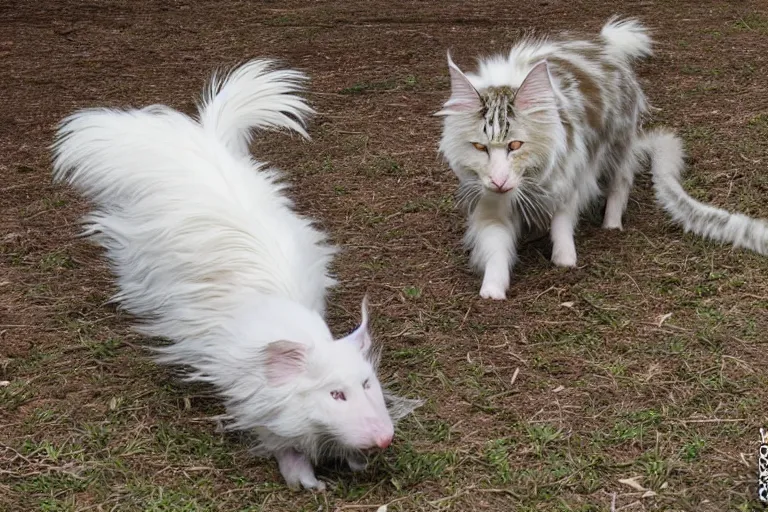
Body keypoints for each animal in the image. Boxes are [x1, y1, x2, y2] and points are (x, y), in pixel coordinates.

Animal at [438, 17, 768, 300]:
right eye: (480, 148)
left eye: (515, 145)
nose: (499, 179)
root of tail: (604, 43)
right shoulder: (490, 203)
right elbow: (496, 247)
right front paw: (492, 290)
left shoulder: (571, 178)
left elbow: (562, 223)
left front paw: (565, 260)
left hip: (617, 149)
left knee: (620, 184)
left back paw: (611, 224)